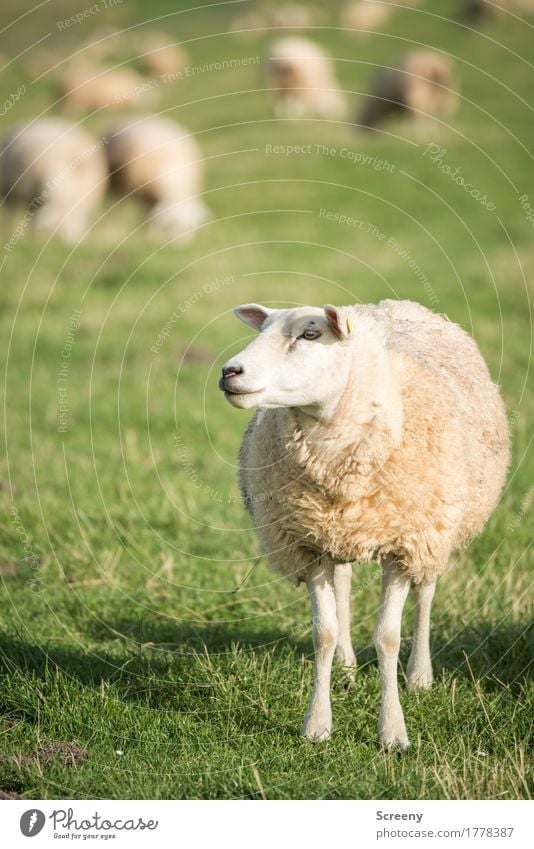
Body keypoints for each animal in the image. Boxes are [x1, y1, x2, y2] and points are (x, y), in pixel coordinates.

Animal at [221, 300, 510, 748]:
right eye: (263, 329)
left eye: (310, 334)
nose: (229, 372)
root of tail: (392, 305)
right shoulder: (308, 543)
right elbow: (323, 632)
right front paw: (317, 725)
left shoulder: (404, 543)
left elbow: (387, 637)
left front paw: (392, 732)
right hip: (337, 531)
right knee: (343, 584)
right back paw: (345, 666)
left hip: (435, 527)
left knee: (426, 592)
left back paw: (419, 675)